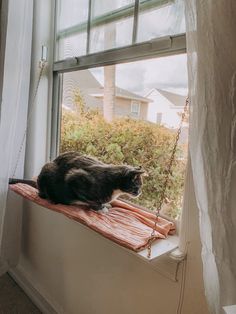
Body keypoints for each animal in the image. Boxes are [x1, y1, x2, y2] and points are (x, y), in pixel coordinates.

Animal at [10, 152, 145, 211]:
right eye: (137, 184)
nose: (140, 192)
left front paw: (105, 205)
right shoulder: (75, 177)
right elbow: (89, 199)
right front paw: (99, 206)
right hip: (48, 169)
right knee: (42, 192)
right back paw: (51, 199)